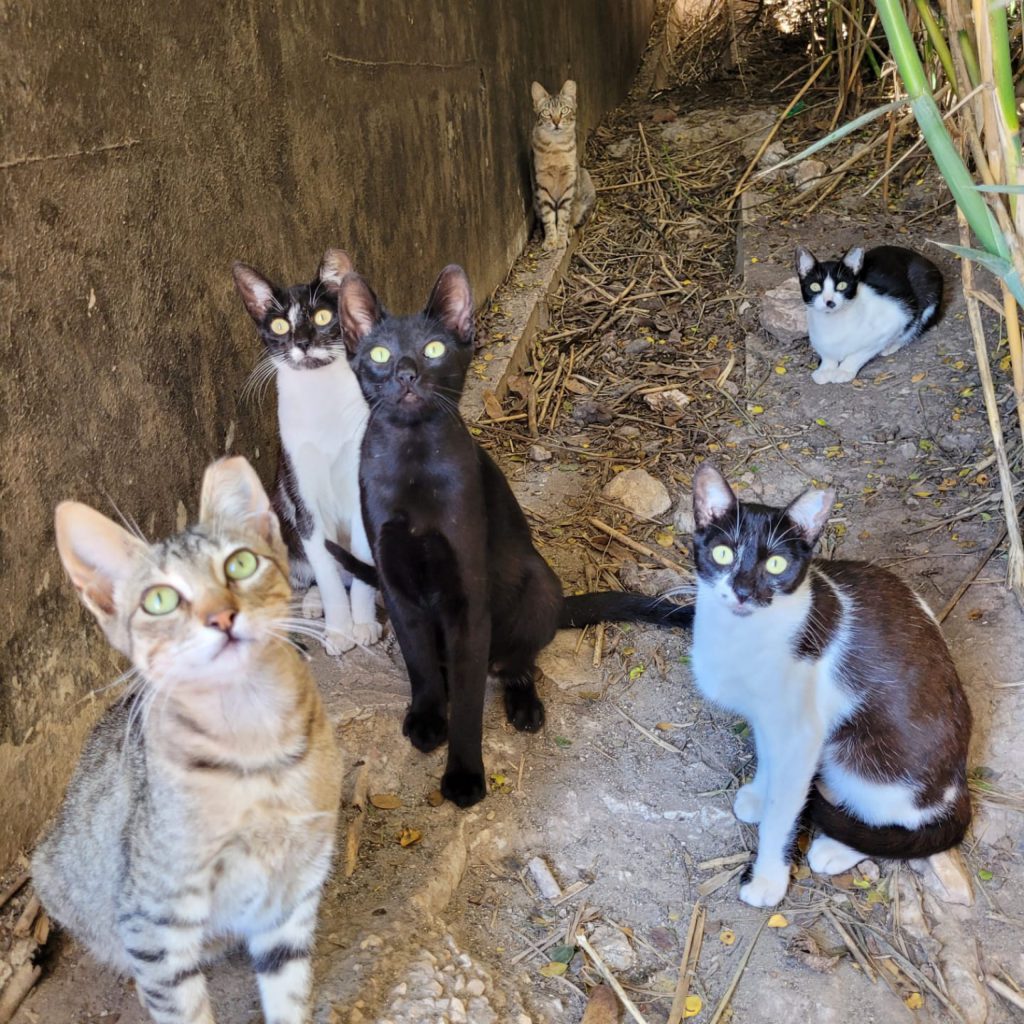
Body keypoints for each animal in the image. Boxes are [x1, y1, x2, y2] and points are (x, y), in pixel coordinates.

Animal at [34, 458, 342, 1024]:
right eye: (159, 600)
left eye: (241, 564)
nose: (221, 617)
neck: (256, 745)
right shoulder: (154, 915)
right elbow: (182, 1006)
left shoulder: (290, 893)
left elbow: (289, 993)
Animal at [232, 248, 380, 651]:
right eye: (281, 326)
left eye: (323, 316)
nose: (301, 341)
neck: (321, 397)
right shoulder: (303, 500)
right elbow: (326, 575)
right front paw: (339, 629)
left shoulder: (363, 490)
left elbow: (360, 563)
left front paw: (363, 624)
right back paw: (315, 603)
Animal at [532, 77, 598, 249]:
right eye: (547, 113)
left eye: (565, 110)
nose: (556, 122)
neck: (556, 148)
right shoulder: (542, 185)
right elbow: (548, 217)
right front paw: (550, 240)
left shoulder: (568, 183)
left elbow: (564, 216)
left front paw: (561, 239)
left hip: (586, 185)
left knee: (581, 217)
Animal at [688, 462, 966, 905]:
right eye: (723, 553)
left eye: (776, 565)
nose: (744, 591)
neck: (740, 637)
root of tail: (958, 783)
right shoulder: (769, 717)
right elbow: (768, 756)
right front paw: (759, 794)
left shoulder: (802, 731)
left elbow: (783, 811)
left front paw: (768, 879)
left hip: (861, 757)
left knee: (907, 820)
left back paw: (837, 848)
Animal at [790, 243, 942, 385]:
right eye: (815, 286)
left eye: (842, 285)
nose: (829, 302)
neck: (832, 323)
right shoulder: (818, 338)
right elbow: (827, 352)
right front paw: (826, 369)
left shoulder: (892, 322)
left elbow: (860, 353)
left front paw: (844, 370)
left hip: (927, 294)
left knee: (914, 327)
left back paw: (891, 346)